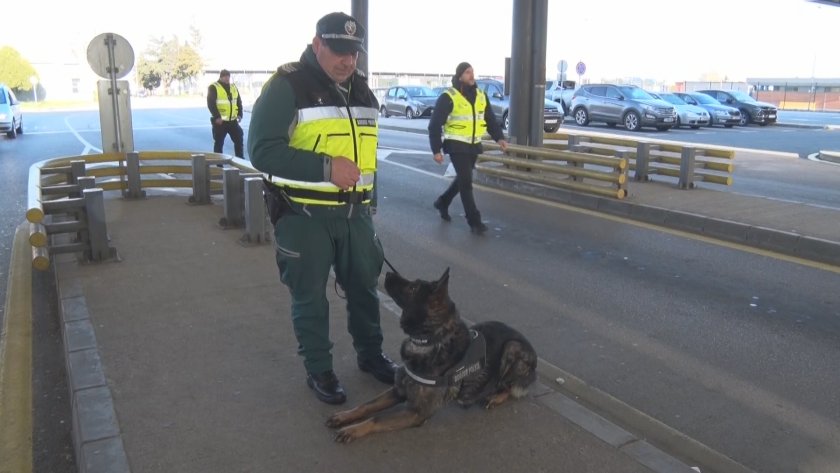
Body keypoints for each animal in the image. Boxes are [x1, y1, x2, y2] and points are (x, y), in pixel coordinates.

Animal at [325, 268, 538, 443]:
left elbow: (376, 418)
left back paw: (494, 397)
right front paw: (344, 416)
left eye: (412, 288)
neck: (428, 343)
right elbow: (366, 406)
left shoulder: (416, 413)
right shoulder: (398, 390)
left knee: (512, 387)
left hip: (512, 347)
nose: (388, 273)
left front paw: (351, 430)